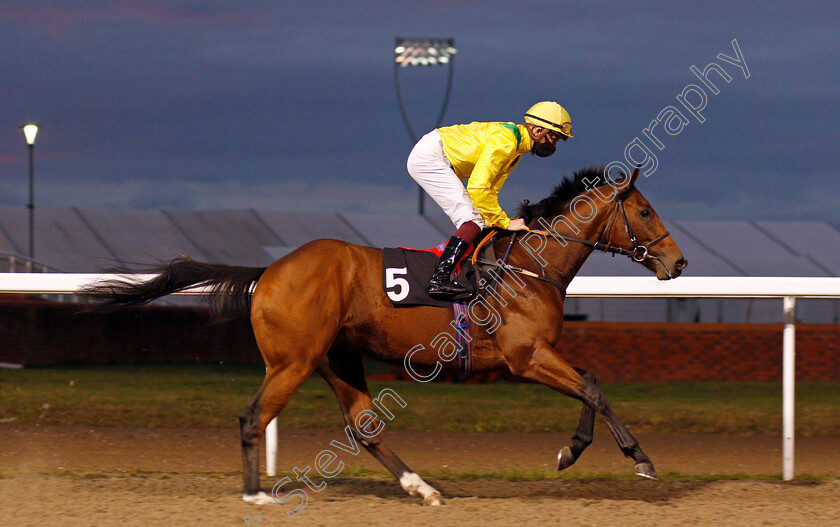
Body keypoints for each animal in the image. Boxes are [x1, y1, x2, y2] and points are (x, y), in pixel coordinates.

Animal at [85, 166, 684, 508]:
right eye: (645, 210)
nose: (678, 263)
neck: (530, 265)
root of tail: (269, 272)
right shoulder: (526, 357)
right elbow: (592, 388)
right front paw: (638, 460)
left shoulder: (537, 355)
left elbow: (590, 380)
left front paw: (573, 450)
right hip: (292, 362)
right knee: (254, 416)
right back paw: (256, 495)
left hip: (337, 358)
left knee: (364, 427)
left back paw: (423, 488)